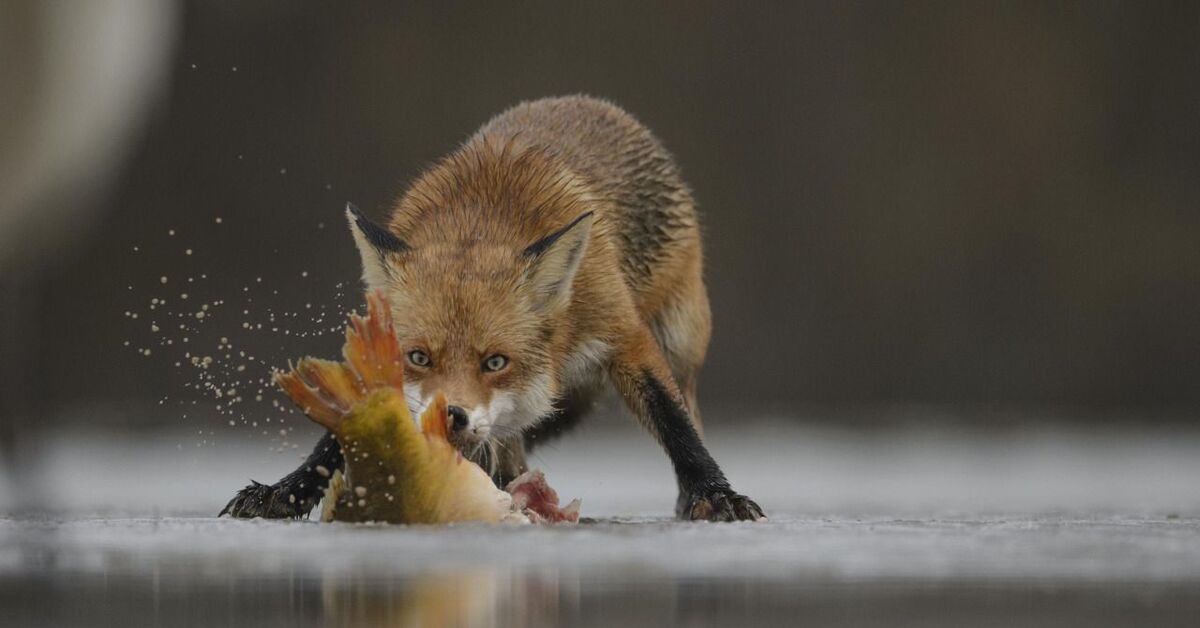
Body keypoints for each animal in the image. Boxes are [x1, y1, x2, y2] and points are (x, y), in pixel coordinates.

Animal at [224, 96, 763, 523]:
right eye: (419, 357)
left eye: (495, 362)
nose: (452, 416)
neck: (482, 218)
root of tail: (591, 104)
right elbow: (344, 433)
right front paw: (286, 490)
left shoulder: (621, 334)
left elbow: (674, 424)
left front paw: (716, 495)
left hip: (679, 345)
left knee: (686, 408)